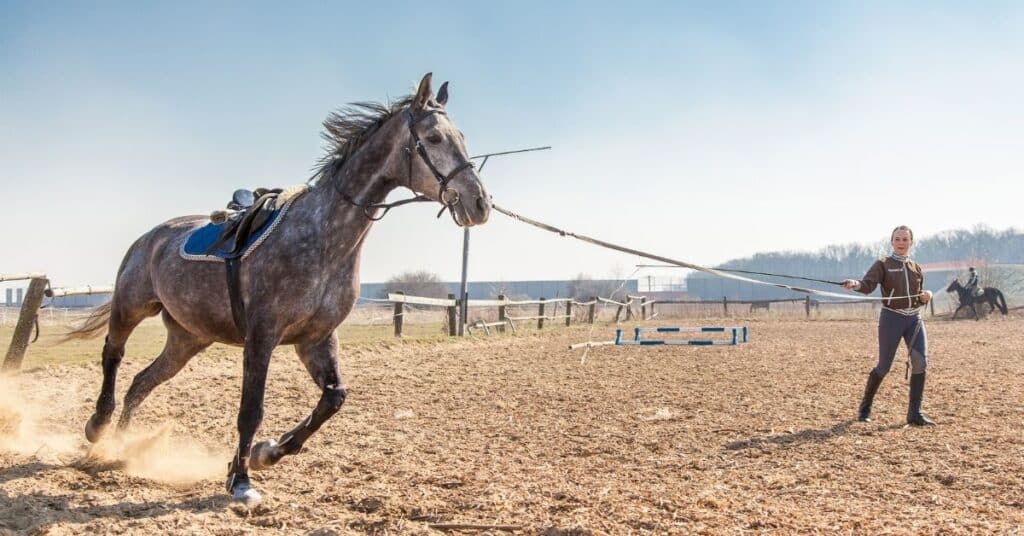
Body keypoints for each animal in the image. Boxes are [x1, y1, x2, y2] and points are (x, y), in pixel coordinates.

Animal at [64, 73, 491, 506]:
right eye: (434, 138)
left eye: (462, 137)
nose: (479, 203)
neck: (323, 237)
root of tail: (150, 236)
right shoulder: (262, 336)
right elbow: (251, 409)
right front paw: (240, 480)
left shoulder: (317, 339)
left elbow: (334, 398)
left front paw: (267, 452)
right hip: (131, 306)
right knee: (113, 355)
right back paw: (98, 426)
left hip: (188, 339)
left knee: (141, 382)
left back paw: (121, 446)